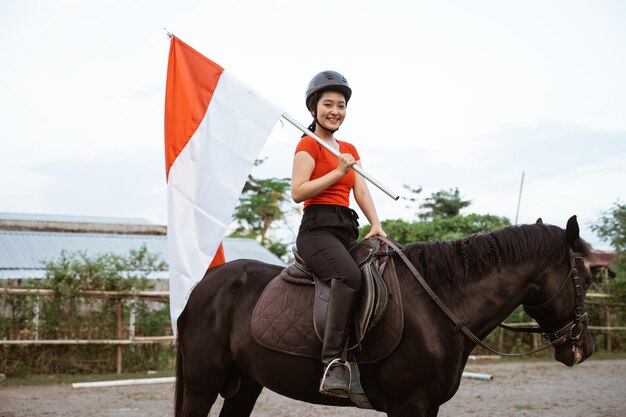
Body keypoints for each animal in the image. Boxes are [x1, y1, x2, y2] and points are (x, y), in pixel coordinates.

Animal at [173, 216, 592, 414]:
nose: (582, 348)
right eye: (587, 278)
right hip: (202, 383)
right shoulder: (409, 407)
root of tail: (203, 285)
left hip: (245, 384)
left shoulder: (427, 407)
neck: (440, 304)